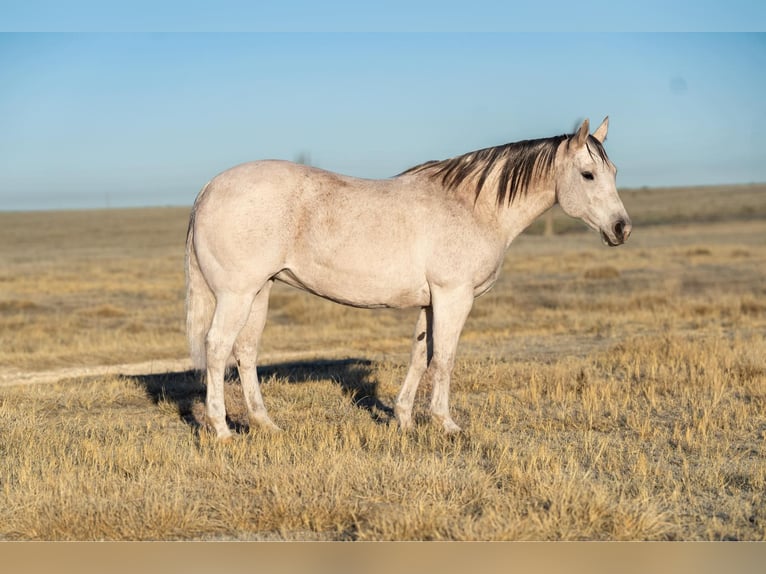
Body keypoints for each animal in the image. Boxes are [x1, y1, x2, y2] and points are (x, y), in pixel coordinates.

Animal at [184, 118, 632, 440]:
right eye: (588, 175)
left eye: (613, 171)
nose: (622, 228)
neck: (473, 207)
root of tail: (209, 188)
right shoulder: (454, 297)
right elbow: (445, 358)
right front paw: (446, 424)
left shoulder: (431, 302)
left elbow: (420, 355)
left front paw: (403, 418)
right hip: (237, 294)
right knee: (218, 347)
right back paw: (222, 430)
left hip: (260, 291)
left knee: (245, 352)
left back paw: (266, 424)